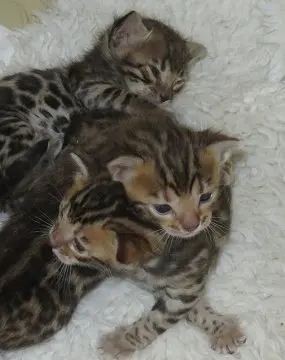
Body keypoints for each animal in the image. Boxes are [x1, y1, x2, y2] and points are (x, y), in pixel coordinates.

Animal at [0, 10, 205, 208]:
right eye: (152, 71)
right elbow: (127, 96)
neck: (106, 65)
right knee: (13, 190)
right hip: (16, 127)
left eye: (178, 83)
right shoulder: (91, 87)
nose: (165, 97)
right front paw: (165, 114)